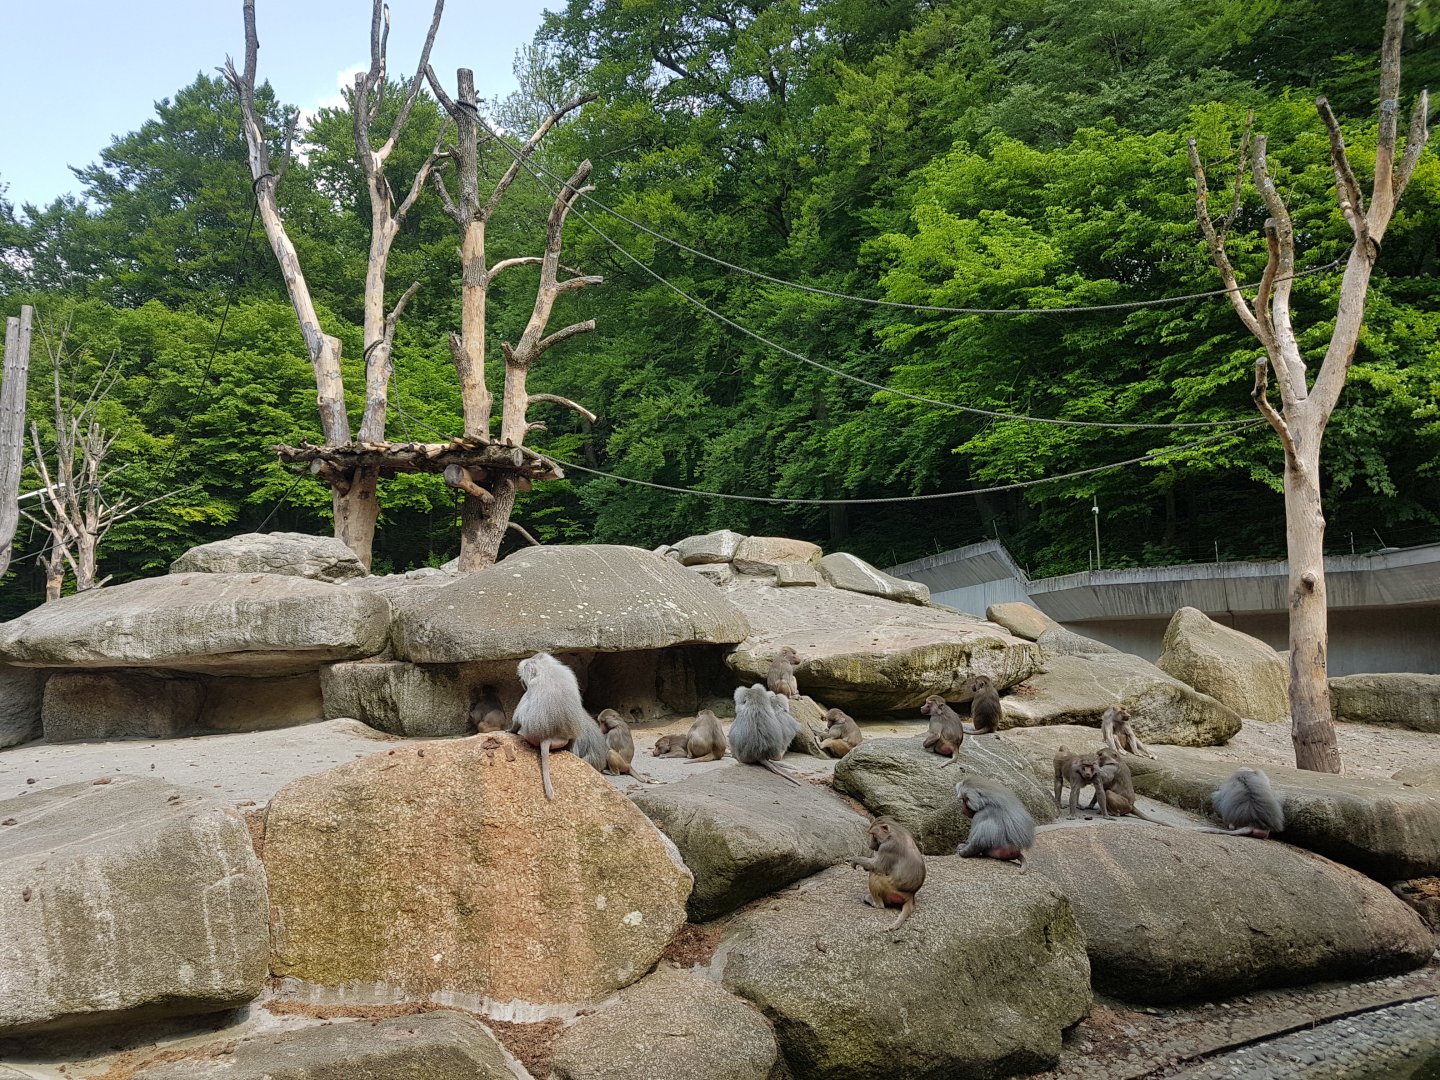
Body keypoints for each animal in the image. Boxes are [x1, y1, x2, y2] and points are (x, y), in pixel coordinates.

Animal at [513, 653, 594, 800]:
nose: (522, 683)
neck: (546, 668)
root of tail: (549, 737)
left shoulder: (532, 688)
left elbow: (519, 715)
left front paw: (509, 730)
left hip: (530, 736)